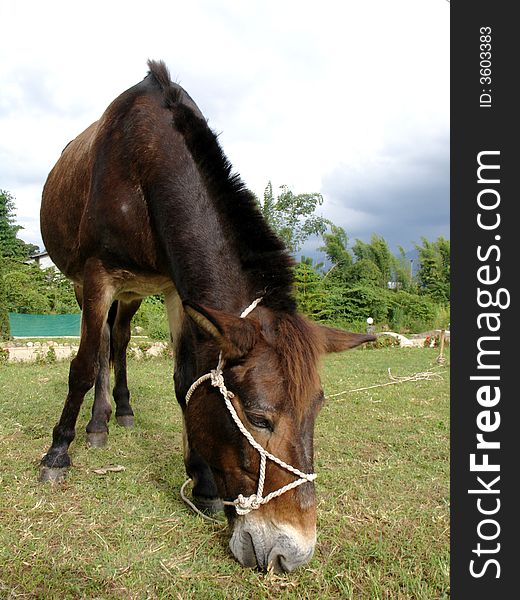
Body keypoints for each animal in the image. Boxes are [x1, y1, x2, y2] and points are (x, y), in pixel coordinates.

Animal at [39, 61, 374, 572]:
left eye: (317, 410)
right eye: (257, 419)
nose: (292, 554)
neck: (145, 161)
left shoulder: (177, 289)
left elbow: (185, 380)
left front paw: (203, 482)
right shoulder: (97, 276)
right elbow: (80, 366)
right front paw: (57, 452)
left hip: (135, 292)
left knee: (119, 339)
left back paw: (116, 415)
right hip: (91, 286)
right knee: (99, 349)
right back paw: (93, 426)